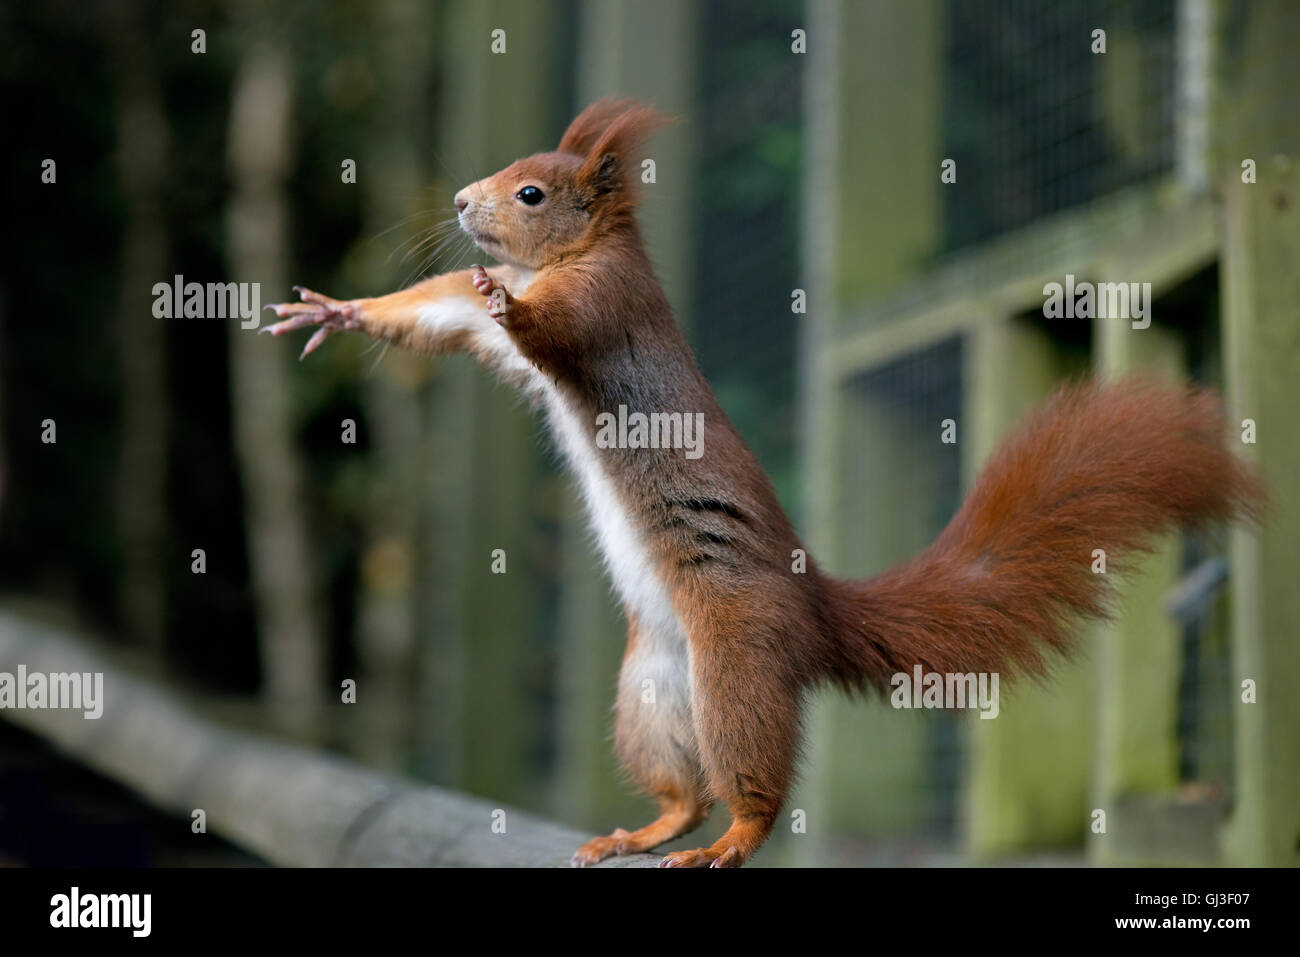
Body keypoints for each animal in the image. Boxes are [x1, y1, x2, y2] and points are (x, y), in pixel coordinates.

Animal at [261, 98, 1258, 868]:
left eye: (532, 191)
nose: (465, 200)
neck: (570, 256)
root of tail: (815, 607)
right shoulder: (491, 320)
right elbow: (445, 311)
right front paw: (342, 310)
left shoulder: (605, 304)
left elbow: (539, 323)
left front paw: (505, 301)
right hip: (652, 689)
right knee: (686, 792)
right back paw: (644, 831)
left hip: (737, 657)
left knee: (750, 788)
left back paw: (734, 839)